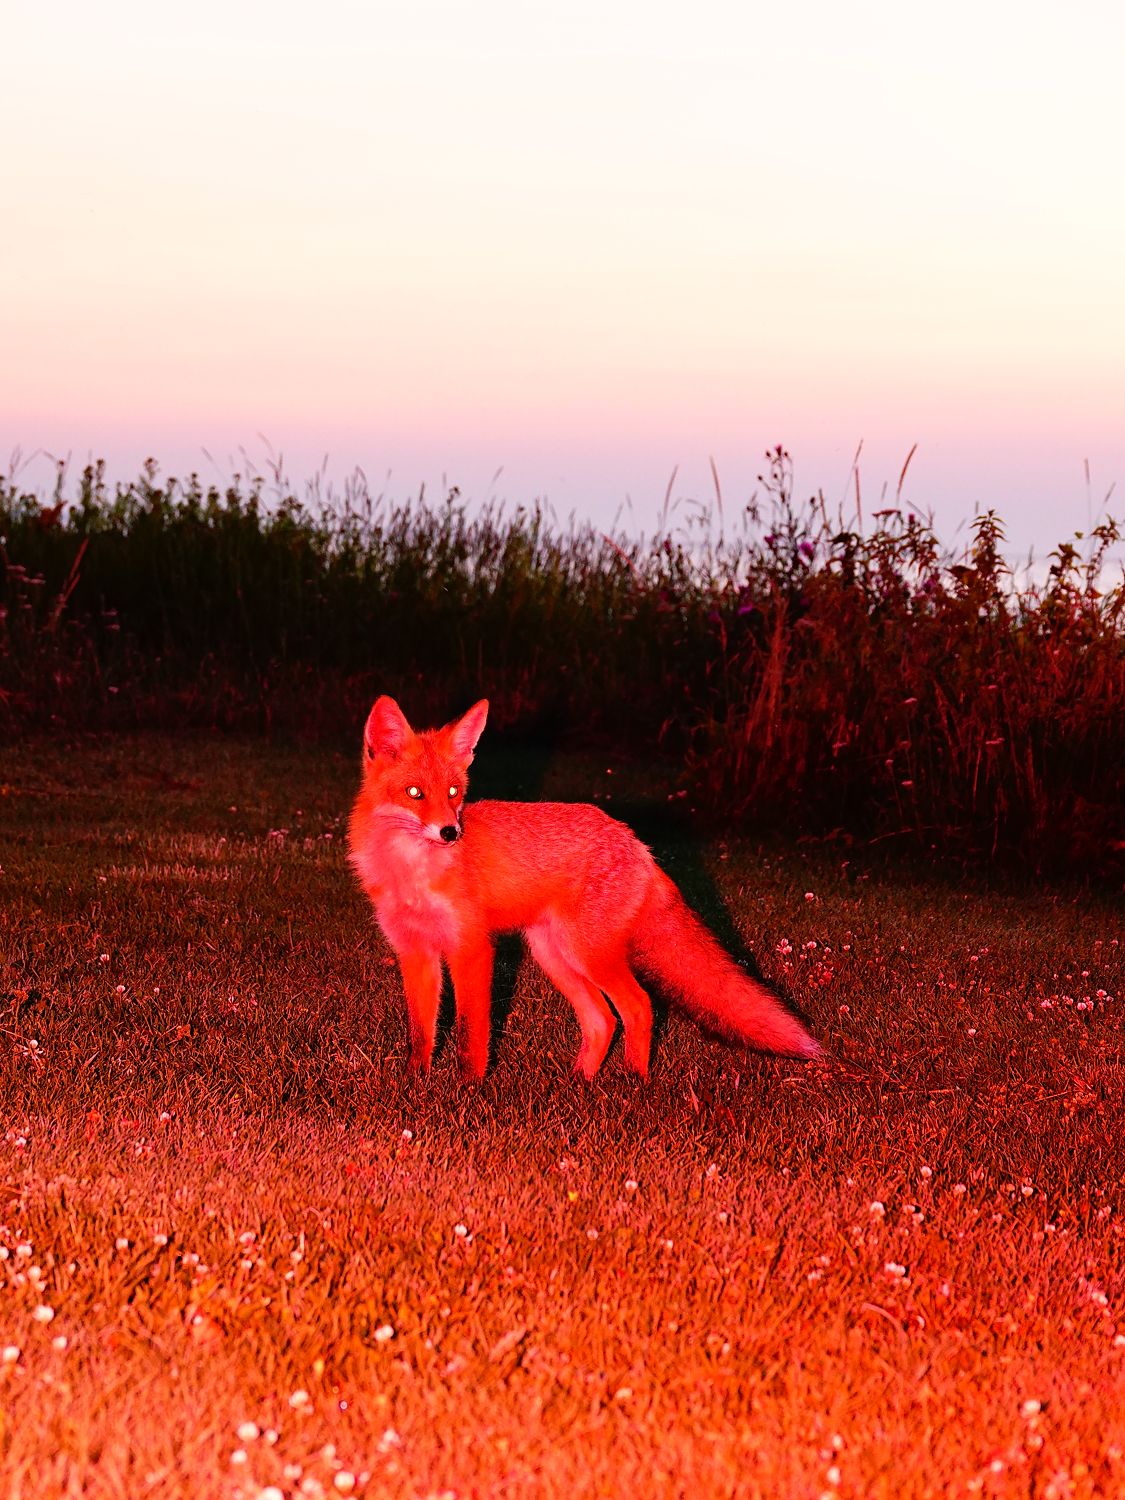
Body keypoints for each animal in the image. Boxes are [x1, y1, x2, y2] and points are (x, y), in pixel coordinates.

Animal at [347, 695, 824, 1080]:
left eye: (453, 792)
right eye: (414, 793)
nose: (450, 832)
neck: (412, 872)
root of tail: (637, 843)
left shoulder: (472, 948)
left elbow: (470, 1035)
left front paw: (468, 1091)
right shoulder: (415, 953)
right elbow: (420, 1032)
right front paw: (416, 1083)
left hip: (587, 952)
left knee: (638, 1006)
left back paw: (634, 1082)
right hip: (555, 954)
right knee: (602, 1019)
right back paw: (580, 1082)